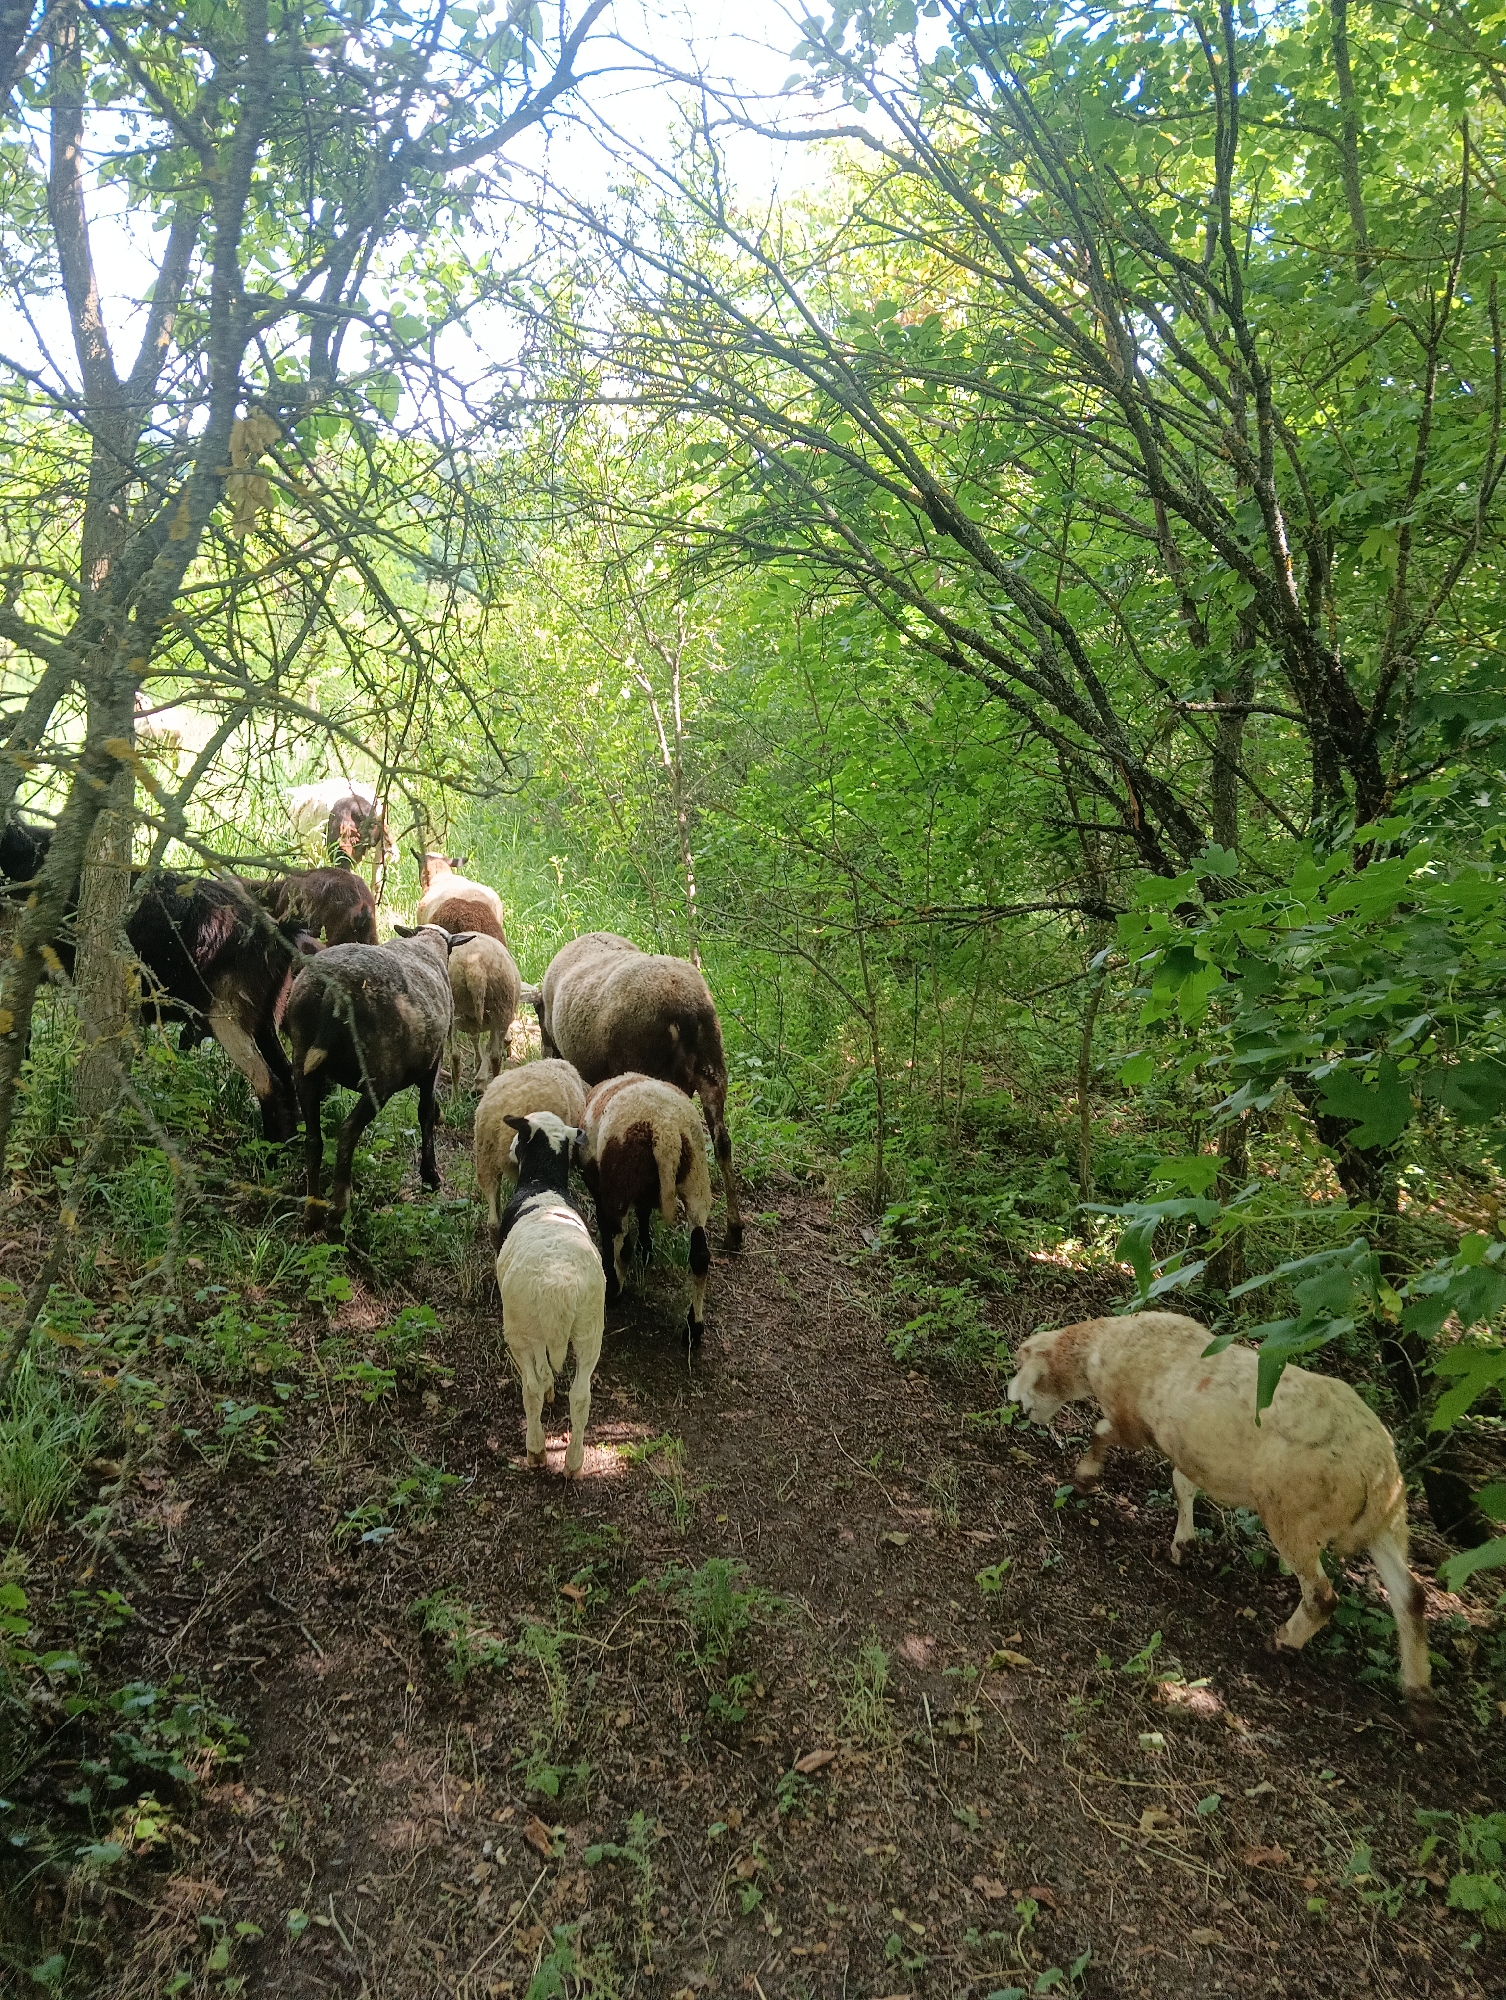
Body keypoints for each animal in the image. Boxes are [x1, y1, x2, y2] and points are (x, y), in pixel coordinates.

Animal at [284, 922, 473, 1231]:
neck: (427, 945)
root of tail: (333, 990)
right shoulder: (434, 1060)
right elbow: (425, 1112)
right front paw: (430, 1176)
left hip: (303, 1064)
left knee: (313, 1138)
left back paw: (312, 1213)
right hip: (379, 1076)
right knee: (348, 1131)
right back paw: (338, 1214)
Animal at [447, 933, 522, 1093]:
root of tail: (474, 968)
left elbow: (475, 1039)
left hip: (452, 1015)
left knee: (455, 1056)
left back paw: (455, 1096)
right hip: (500, 1011)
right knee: (495, 1056)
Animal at [494, 1110, 605, 1477]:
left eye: (520, 1134)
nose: (510, 1149)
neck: (543, 1183)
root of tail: (560, 1286)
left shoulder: (529, 1333)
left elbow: (540, 1374)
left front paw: (547, 1388)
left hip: (517, 1327)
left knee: (530, 1389)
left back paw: (536, 1450)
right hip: (590, 1329)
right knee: (581, 1395)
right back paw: (573, 1462)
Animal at [579, 1071, 714, 1346]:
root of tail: (665, 1131)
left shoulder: (598, 1185)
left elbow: (607, 1227)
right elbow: (643, 1214)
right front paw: (647, 1248)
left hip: (619, 1183)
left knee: (622, 1244)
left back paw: (614, 1292)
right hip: (696, 1180)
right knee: (700, 1256)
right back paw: (693, 1330)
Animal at [1006, 1312, 1433, 1723]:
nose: (1014, 1401)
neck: (1103, 1348)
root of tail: (1376, 1468)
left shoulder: (1132, 1424)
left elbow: (1100, 1433)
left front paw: (1085, 1477)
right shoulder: (1188, 1450)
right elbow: (1182, 1485)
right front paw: (1183, 1545)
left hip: (1294, 1518)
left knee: (1323, 1596)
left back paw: (1283, 1641)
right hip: (1390, 1523)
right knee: (1411, 1596)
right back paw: (1418, 1695)